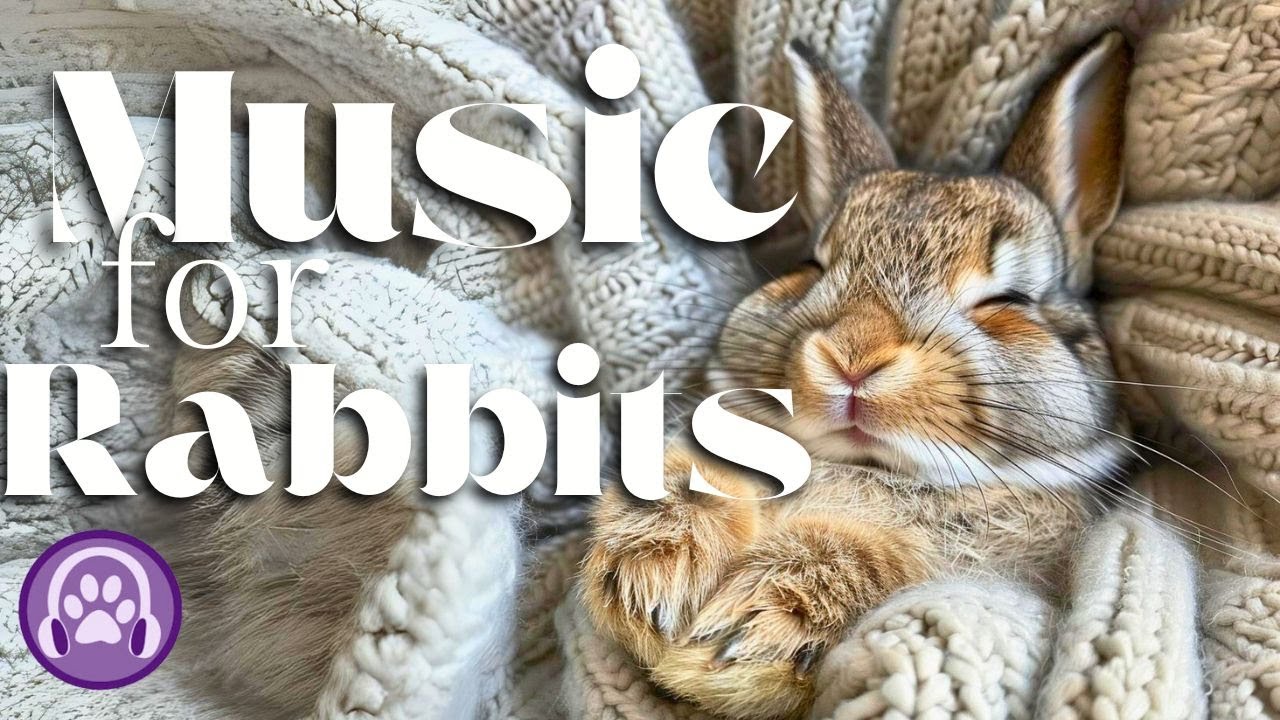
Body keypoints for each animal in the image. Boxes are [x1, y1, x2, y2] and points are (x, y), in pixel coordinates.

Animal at [580, 31, 1133, 720]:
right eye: (812, 266)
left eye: (1008, 301)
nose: (852, 357)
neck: (867, 466)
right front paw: (648, 580)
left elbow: (886, 563)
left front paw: (742, 637)